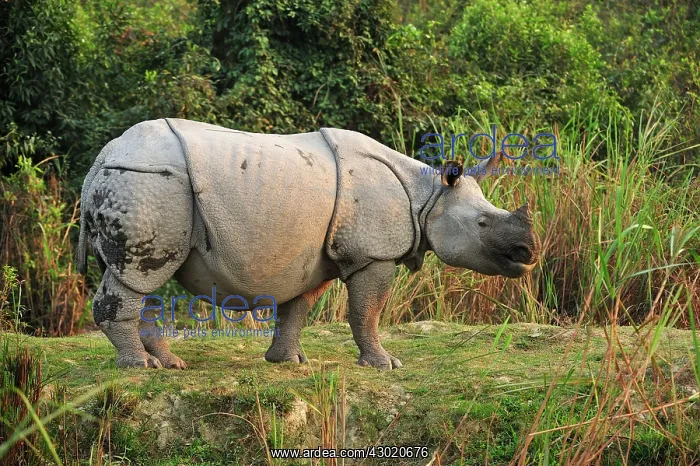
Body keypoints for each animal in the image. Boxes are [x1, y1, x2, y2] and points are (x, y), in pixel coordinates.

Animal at [78, 119, 540, 370]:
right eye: (482, 223)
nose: (528, 255)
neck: (427, 197)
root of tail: (101, 158)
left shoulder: (314, 256)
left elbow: (298, 307)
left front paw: (287, 361)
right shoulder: (373, 254)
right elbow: (367, 311)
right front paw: (385, 364)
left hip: (141, 186)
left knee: (142, 277)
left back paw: (167, 363)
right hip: (148, 184)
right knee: (138, 276)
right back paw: (139, 367)